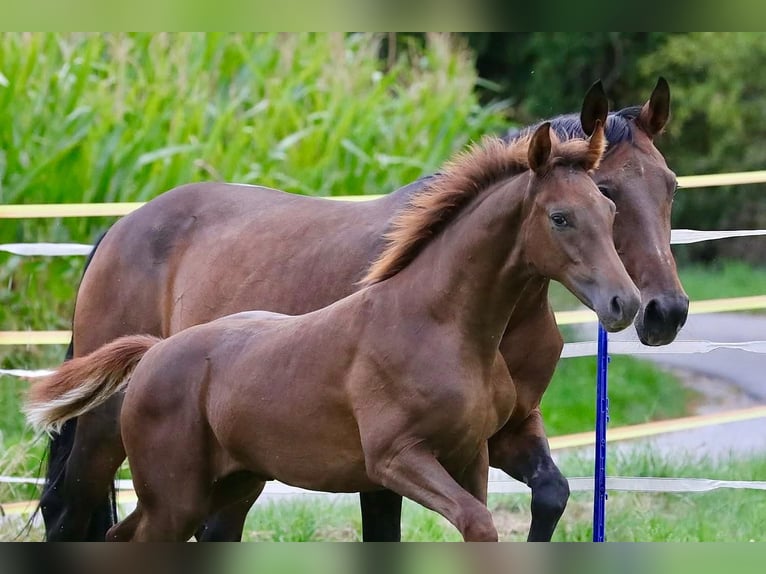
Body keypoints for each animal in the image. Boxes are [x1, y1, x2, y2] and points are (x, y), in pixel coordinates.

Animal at [38, 78, 687, 542]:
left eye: (671, 185)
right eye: (607, 193)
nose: (662, 311)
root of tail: (120, 228)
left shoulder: (505, 431)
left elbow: (550, 495)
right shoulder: (386, 463)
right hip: (106, 432)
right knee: (69, 516)